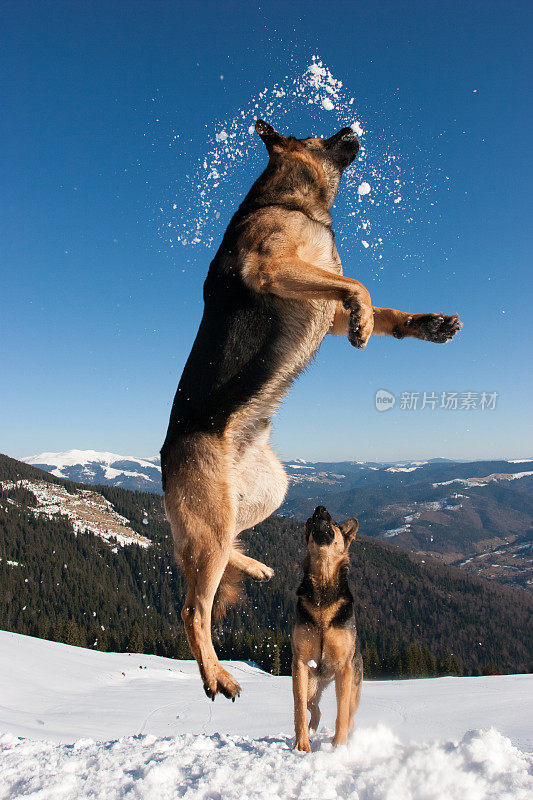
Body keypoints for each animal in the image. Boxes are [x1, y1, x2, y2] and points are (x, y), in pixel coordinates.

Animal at [290, 506, 362, 752]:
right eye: (310, 520)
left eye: (336, 524)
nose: (320, 509)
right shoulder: (300, 663)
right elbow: (299, 709)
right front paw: (302, 745)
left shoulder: (344, 668)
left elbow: (342, 713)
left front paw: (339, 746)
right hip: (311, 685)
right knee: (314, 709)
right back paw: (311, 732)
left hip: (354, 687)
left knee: (349, 714)